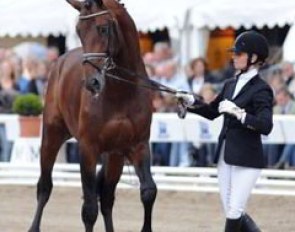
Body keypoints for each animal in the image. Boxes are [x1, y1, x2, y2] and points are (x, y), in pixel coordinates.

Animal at [28, 0, 157, 231]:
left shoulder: (138, 145)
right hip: (52, 136)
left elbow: (148, 191)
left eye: (103, 28)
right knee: (44, 186)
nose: (92, 83)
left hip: (115, 156)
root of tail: (60, 61)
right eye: (79, 31)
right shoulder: (88, 148)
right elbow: (89, 209)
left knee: (106, 197)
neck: (120, 92)